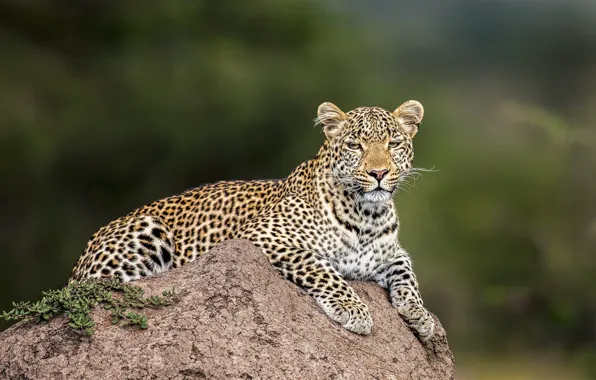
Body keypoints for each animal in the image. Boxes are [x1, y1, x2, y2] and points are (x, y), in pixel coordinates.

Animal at [70, 99, 436, 340]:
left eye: (394, 143)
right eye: (354, 145)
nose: (379, 173)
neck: (367, 215)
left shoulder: (392, 253)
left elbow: (408, 272)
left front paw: (420, 315)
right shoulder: (259, 237)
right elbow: (319, 266)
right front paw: (353, 309)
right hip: (146, 232)